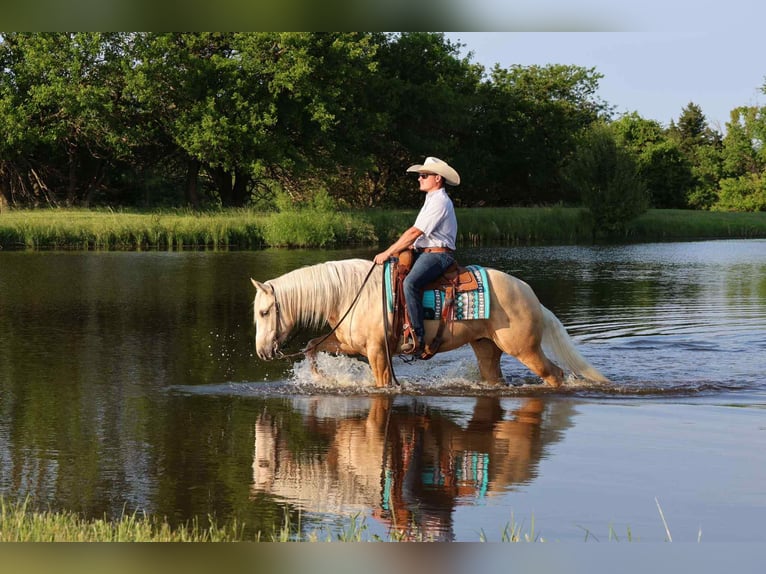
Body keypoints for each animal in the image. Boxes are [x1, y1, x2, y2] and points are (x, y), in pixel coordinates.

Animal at [250, 258, 609, 388]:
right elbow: (312, 346)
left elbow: (382, 384)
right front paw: (322, 377)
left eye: (265, 312)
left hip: (524, 349)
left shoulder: (378, 351)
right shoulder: (350, 342)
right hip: (487, 348)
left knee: (555, 374)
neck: (351, 293)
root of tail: (531, 295)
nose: (262, 352)